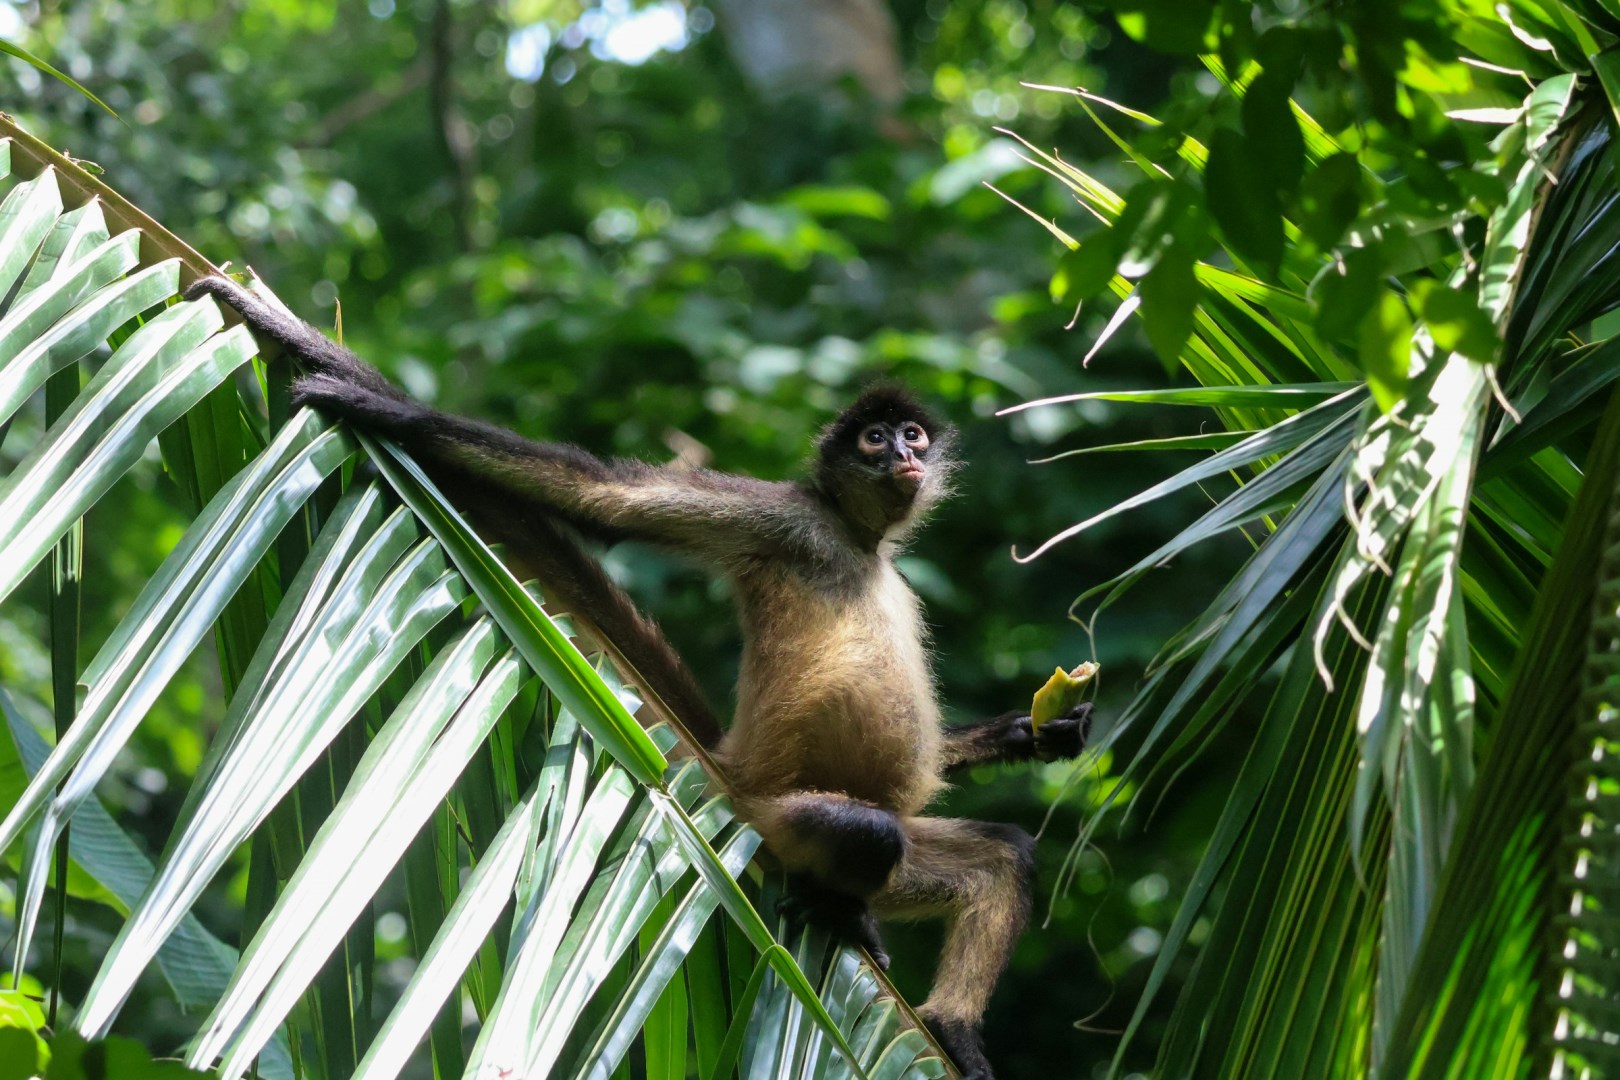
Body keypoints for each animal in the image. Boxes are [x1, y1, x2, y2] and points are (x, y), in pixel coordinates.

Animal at [184, 275, 1092, 1080]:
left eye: (913, 437)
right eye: (876, 439)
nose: (903, 453)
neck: (855, 541)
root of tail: (732, 770)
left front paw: (1033, 732)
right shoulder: (782, 519)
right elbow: (609, 500)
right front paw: (379, 400)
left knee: (1003, 856)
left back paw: (946, 1021)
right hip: (777, 820)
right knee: (869, 831)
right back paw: (841, 908)